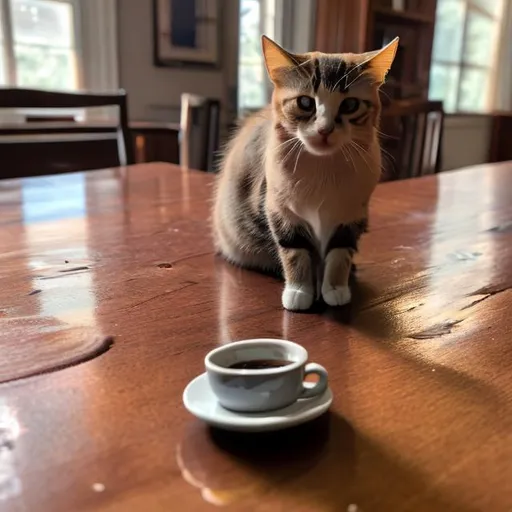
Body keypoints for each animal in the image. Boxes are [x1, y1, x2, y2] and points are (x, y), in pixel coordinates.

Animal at [212, 36, 396, 312]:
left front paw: (335, 289)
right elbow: (294, 252)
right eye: (305, 103)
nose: (324, 130)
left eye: (350, 105)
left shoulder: (352, 215)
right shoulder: (279, 210)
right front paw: (299, 291)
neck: (323, 169)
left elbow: (340, 253)